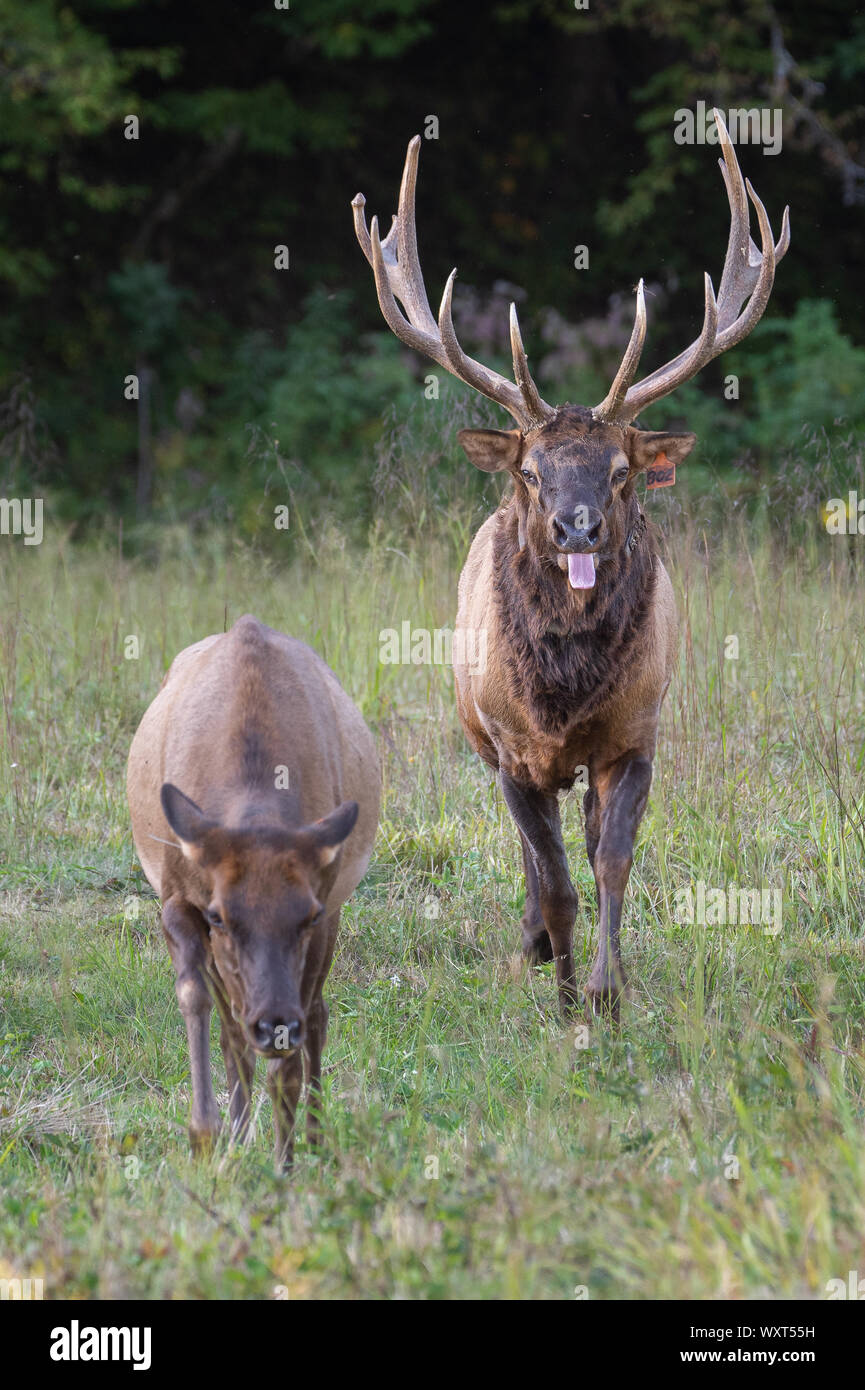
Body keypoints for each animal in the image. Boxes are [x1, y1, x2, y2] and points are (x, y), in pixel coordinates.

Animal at [127, 614, 378, 1167]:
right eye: (219, 915)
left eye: (306, 914)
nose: (273, 1026)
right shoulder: (177, 896)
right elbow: (196, 999)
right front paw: (205, 1133)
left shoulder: (326, 906)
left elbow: (294, 1051)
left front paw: (285, 1163)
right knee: (233, 1028)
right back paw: (241, 1131)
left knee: (317, 1015)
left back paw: (314, 1136)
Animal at [354, 111, 795, 1023]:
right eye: (530, 471)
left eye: (620, 469)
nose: (577, 526)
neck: (561, 695)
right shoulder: (506, 746)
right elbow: (552, 874)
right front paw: (559, 993)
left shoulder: (634, 733)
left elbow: (609, 862)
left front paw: (606, 988)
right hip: (478, 733)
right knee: (535, 852)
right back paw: (530, 944)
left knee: (582, 838)